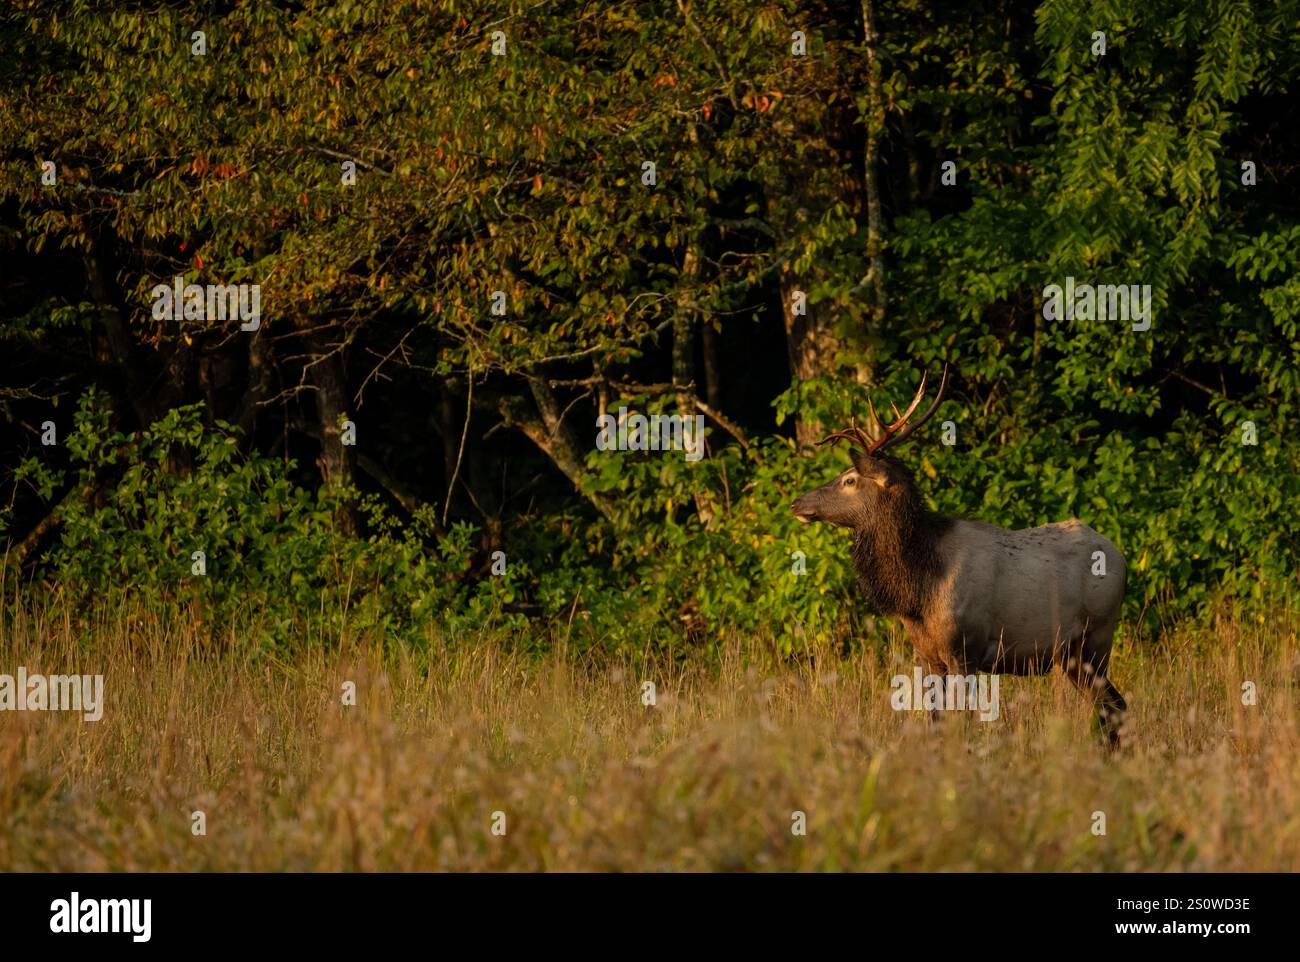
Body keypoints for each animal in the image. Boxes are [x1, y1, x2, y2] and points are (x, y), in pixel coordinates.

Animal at [790, 369, 1128, 743]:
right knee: (1111, 704)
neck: (919, 590)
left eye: (849, 480)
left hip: (1098, 636)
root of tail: (1121, 557)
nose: (797, 502)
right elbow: (934, 720)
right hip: (1071, 655)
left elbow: (962, 722)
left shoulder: (966, 647)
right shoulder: (926, 654)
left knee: (1112, 704)